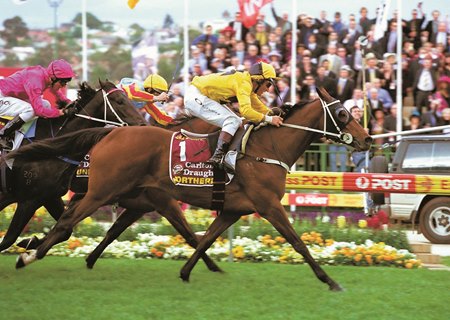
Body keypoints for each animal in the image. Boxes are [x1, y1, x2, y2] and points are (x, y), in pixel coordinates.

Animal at [14, 87, 372, 290]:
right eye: (342, 113)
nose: (367, 138)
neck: (268, 149)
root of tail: (111, 132)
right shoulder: (268, 205)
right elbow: (298, 243)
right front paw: (330, 280)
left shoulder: (231, 210)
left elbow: (204, 239)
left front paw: (187, 272)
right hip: (101, 191)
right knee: (65, 223)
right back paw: (27, 256)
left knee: (69, 220)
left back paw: (31, 247)